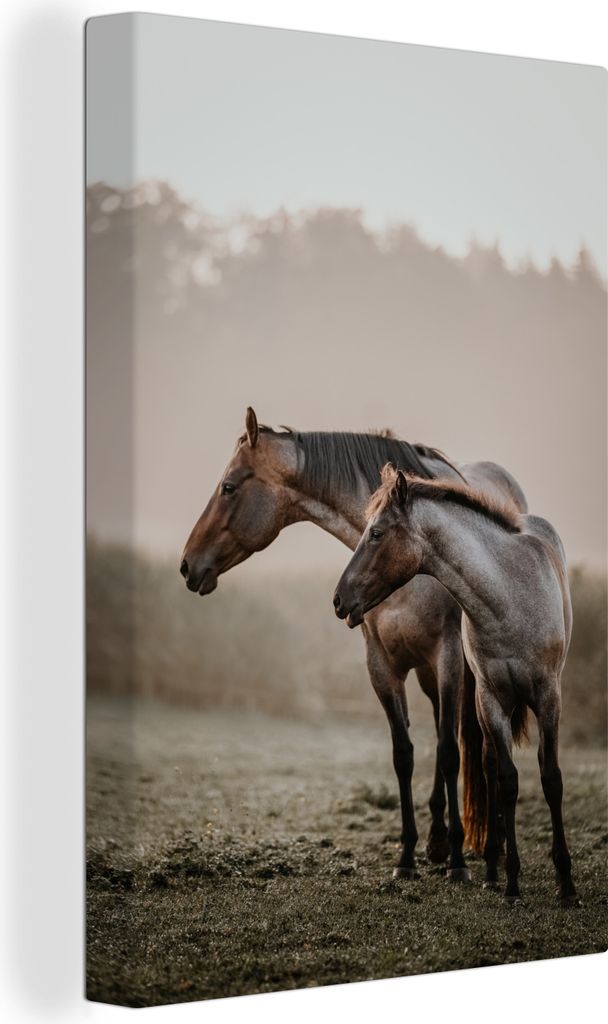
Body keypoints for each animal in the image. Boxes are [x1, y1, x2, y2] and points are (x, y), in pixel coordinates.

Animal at [180, 407, 528, 881]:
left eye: (229, 487)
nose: (187, 565)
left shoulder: (449, 659)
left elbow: (450, 754)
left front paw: (459, 863)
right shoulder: (381, 666)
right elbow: (404, 754)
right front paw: (407, 858)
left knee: (481, 752)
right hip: (426, 675)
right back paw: (437, 841)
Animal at [333, 465, 577, 905]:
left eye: (376, 532)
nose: (339, 599)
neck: (508, 597)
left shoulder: (550, 698)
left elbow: (551, 779)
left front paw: (566, 885)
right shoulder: (490, 699)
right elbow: (506, 780)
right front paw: (510, 885)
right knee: (489, 764)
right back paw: (493, 869)